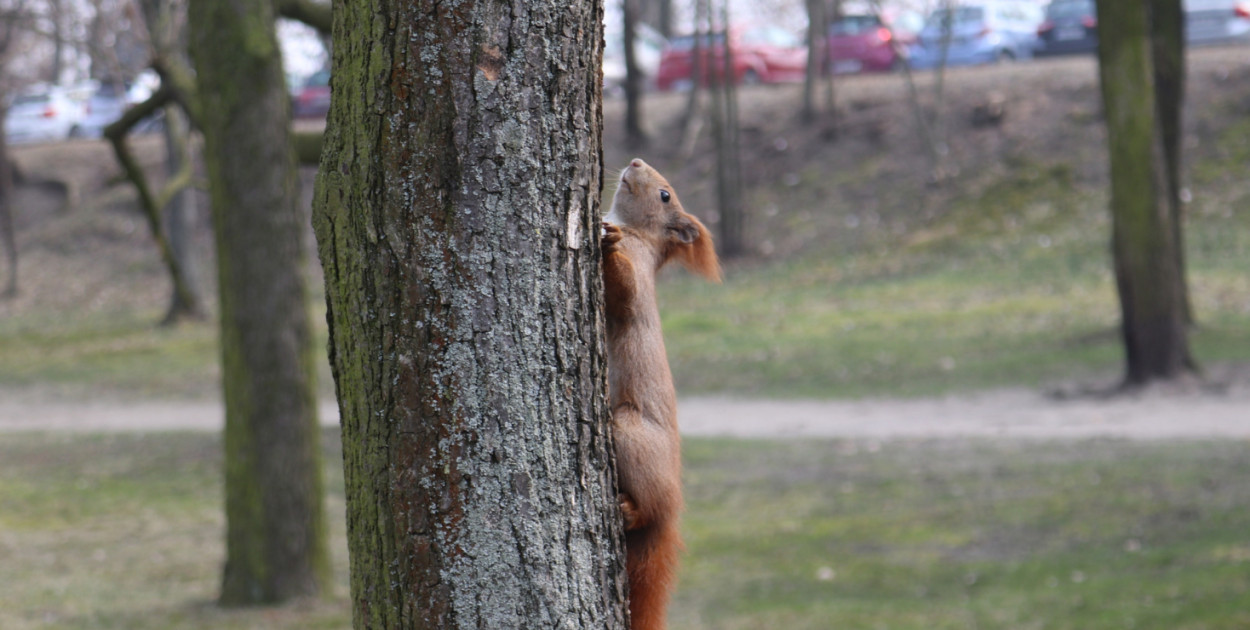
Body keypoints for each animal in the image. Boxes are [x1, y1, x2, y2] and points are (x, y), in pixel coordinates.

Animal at [597, 157, 720, 630]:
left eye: (665, 195)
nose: (635, 161)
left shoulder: (635, 271)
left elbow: (625, 290)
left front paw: (607, 245)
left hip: (628, 433)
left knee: (650, 509)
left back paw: (632, 510)